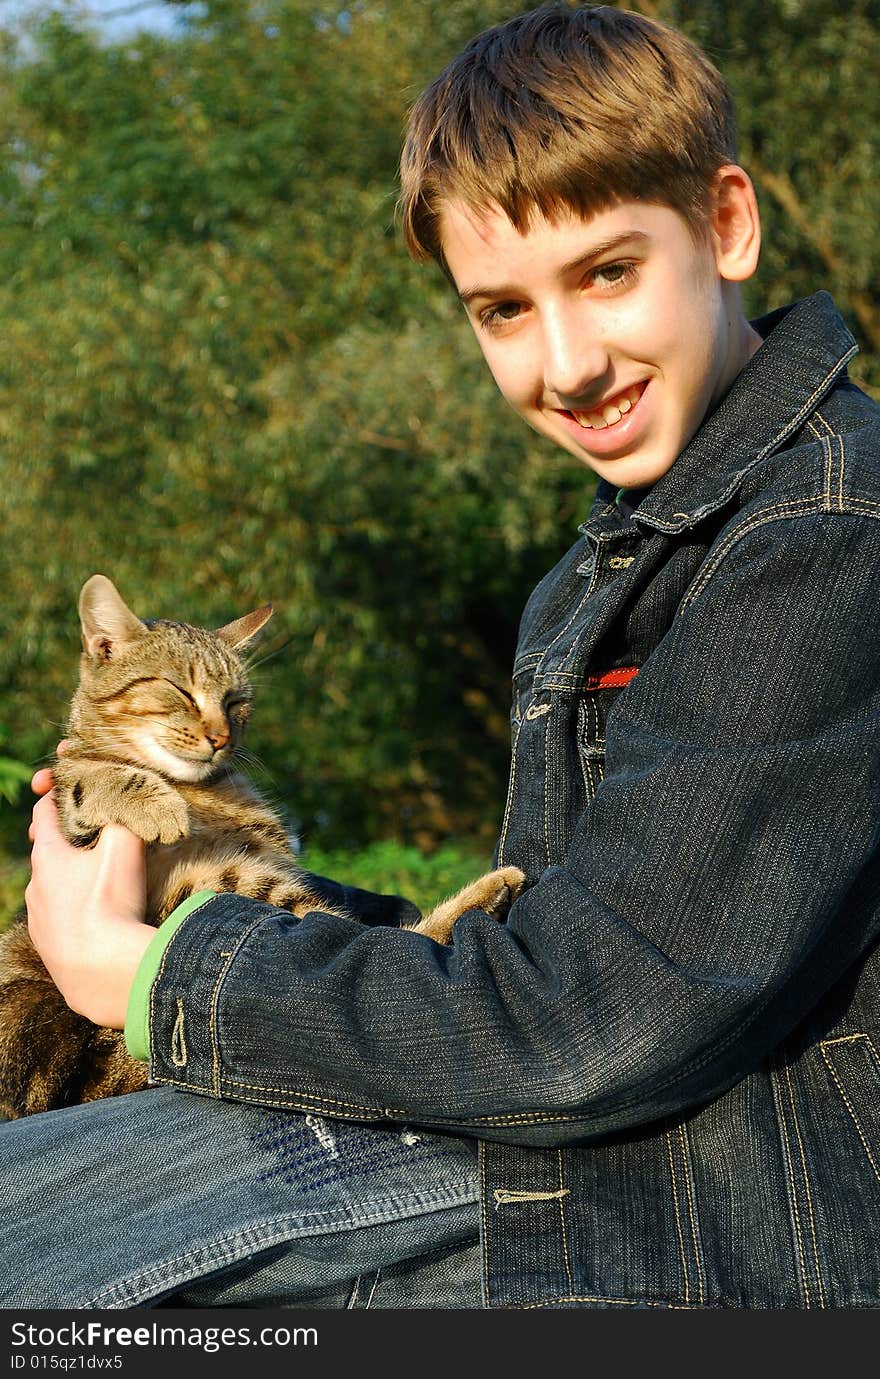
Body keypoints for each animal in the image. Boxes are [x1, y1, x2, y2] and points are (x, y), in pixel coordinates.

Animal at [0, 570, 524, 1119]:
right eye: (180, 691)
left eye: (235, 701)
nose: (220, 737)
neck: (206, 790)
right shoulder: (71, 817)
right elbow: (89, 774)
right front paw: (158, 805)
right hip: (222, 883)